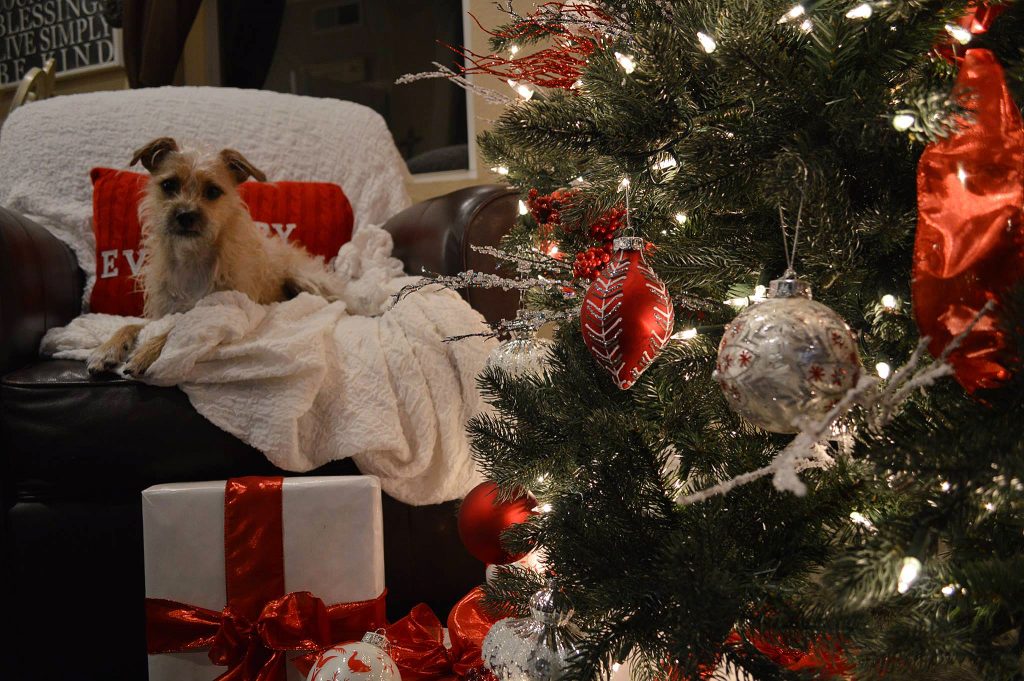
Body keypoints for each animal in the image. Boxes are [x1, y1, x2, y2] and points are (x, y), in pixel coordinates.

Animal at [86, 135, 342, 374]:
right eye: (169, 185)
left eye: (212, 191)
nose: (185, 215)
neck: (192, 257)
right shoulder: (163, 312)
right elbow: (130, 326)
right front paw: (107, 348)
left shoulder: (225, 310)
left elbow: (180, 327)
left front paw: (146, 351)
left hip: (307, 281)